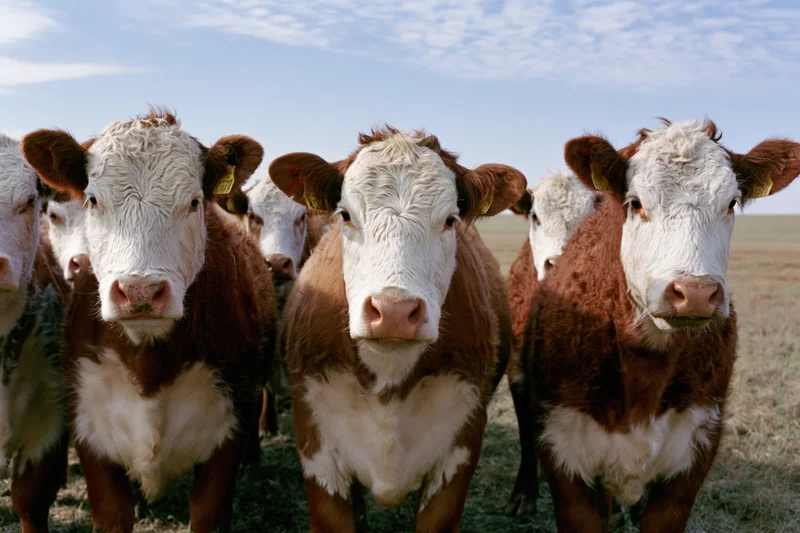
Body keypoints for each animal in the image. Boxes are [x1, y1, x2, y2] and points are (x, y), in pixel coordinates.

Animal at [22, 110, 278, 533]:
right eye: (93, 200)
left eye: (194, 201)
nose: (139, 290)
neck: (148, 359)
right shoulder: (90, 432)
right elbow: (114, 511)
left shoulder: (226, 434)